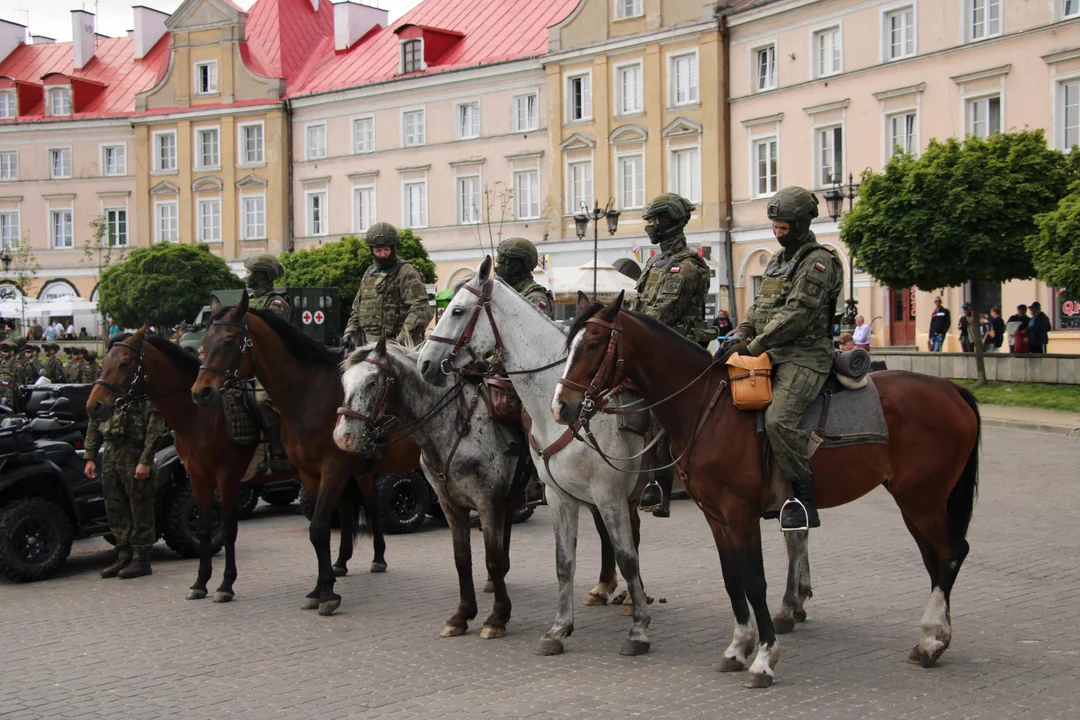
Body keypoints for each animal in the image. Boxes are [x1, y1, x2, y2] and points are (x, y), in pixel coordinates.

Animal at [86, 330, 369, 604]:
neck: (199, 417)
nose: (94, 406)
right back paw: (341, 562)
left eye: (124, 362)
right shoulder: (197, 477)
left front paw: (225, 585)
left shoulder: (227, 478)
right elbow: (203, 529)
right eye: (104, 363)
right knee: (346, 508)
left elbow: (229, 529)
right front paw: (200, 583)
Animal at [192, 289, 419, 617]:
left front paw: (327, 594)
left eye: (230, 341)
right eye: (205, 342)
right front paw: (320, 587)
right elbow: (319, 532)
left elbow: (319, 528)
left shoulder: (333, 468)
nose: (201, 393)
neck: (309, 396)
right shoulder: (310, 474)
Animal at [414, 259, 648, 660]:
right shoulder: (562, 494)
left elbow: (625, 552)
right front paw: (556, 628)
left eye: (457, 311)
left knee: (629, 537)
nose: (425, 363)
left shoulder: (610, 493)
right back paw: (605, 588)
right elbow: (562, 560)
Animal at [552, 295, 984, 690]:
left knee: (952, 552)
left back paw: (930, 639)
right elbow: (732, 578)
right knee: (936, 559)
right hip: (916, 502)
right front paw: (738, 647)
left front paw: (763, 657)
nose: (561, 406)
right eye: (569, 344)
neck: (708, 407)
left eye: (593, 344)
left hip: (921, 498)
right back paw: (933, 637)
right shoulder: (716, 515)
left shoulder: (740, 513)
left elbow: (755, 580)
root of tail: (952, 390)